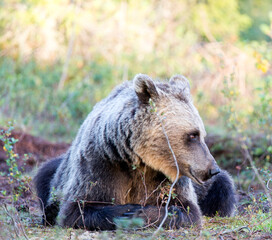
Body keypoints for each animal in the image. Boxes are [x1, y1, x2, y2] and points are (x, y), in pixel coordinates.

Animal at [34, 74, 236, 230]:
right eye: (193, 135)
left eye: (201, 134)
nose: (212, 169)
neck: (138, 159)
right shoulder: (100, 162)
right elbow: (78, 208)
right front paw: (126, 211)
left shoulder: (168, 179)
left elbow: (186, 209)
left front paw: (141, 212)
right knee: (44, 176)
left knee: (223, 188)